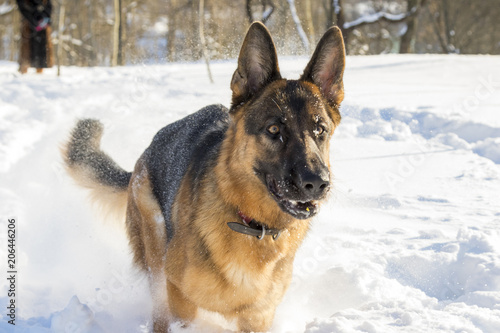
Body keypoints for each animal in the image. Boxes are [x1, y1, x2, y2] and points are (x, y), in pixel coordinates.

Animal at [61, 22, 344, 330]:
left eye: (320, 129)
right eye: (273, 130)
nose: (317, 183)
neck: (250, 224)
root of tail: (147, 150)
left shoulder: (257, 318)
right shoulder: (180, 302)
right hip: (157, 256)